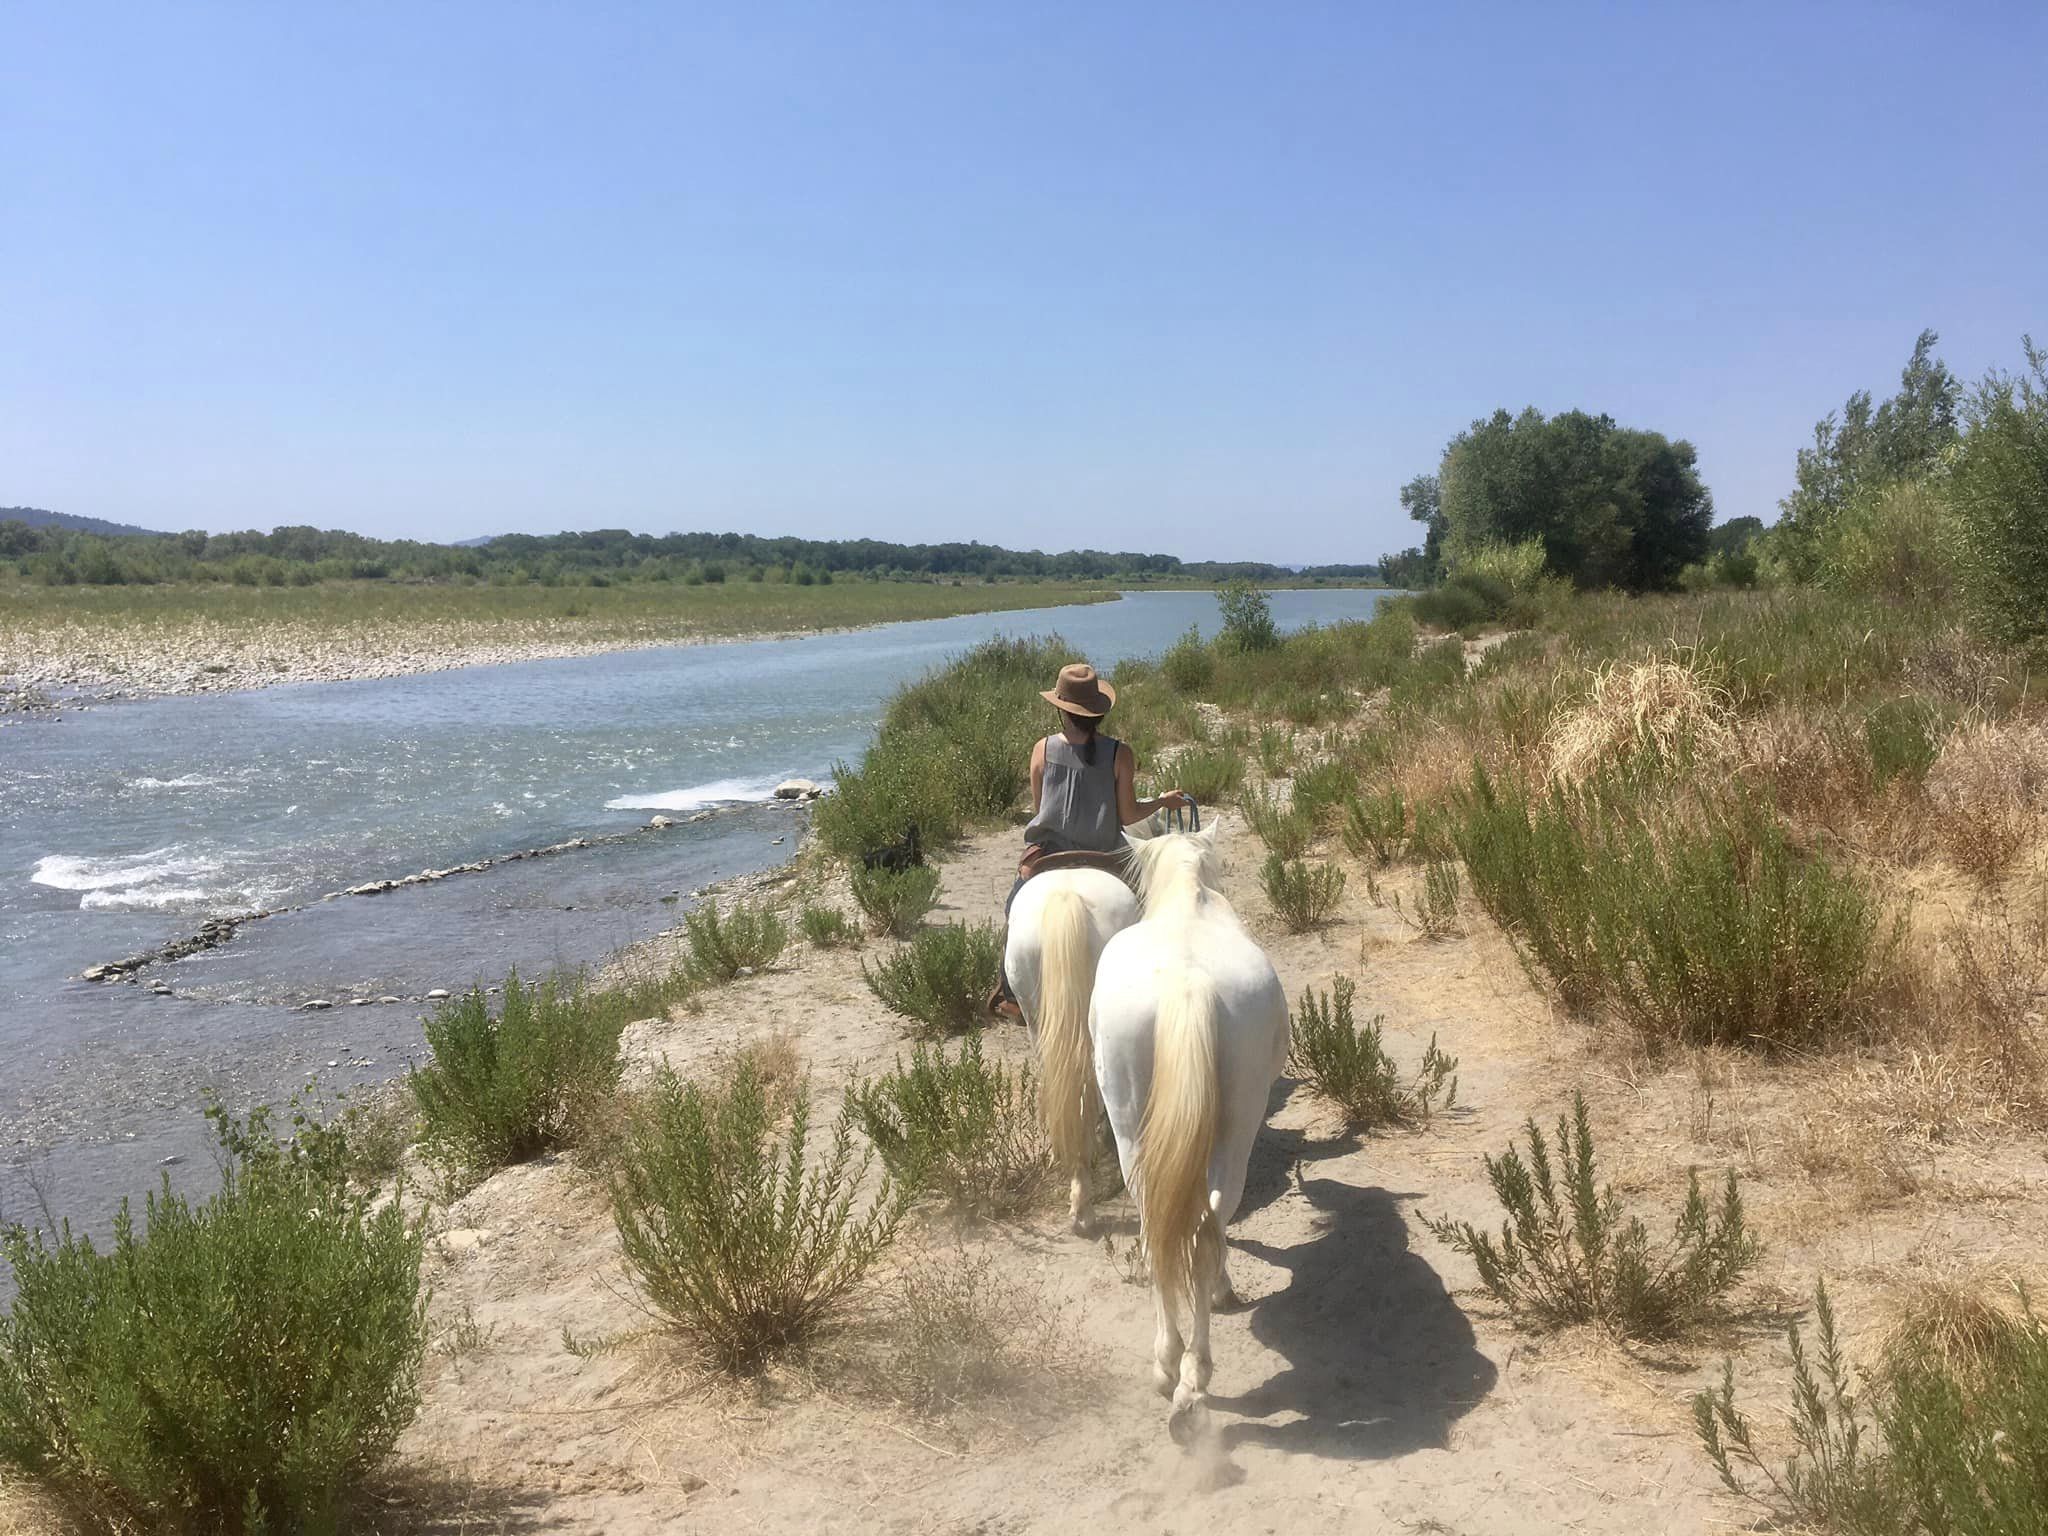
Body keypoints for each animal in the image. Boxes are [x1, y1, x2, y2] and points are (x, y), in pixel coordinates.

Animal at [1090, 819, 1289, 1437]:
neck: (1186, 902)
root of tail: (1188, 988)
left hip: (1131, 1130)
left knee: (1164, 1229)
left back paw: (1169, 1366)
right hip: (1235, 1128)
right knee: (1199, 1229)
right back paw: (1192, 1377)